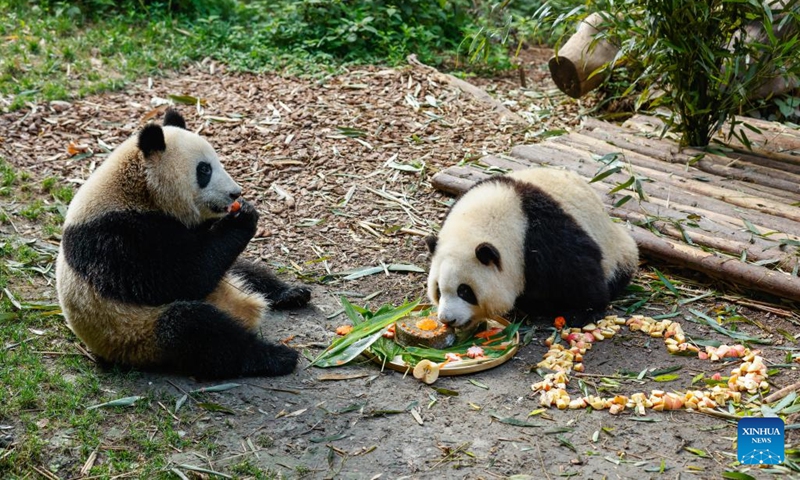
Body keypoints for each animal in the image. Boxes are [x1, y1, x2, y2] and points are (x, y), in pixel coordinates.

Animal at [56, 108, 311, 379]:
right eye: (204, 170)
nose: (235, 194)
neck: (136, 190)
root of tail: (245, 307)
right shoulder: (115, 238)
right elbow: (183, 277)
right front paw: (243, 217)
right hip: (138, 334)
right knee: (197, 331)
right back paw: (276, 356)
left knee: (247, 271)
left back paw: (291, 294)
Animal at [426, 167, 638, 328]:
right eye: (438, 290)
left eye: (465, 291)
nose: (447, 319)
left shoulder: (541, 233)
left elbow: (578, 269)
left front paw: (583, 312)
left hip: (616, 248)